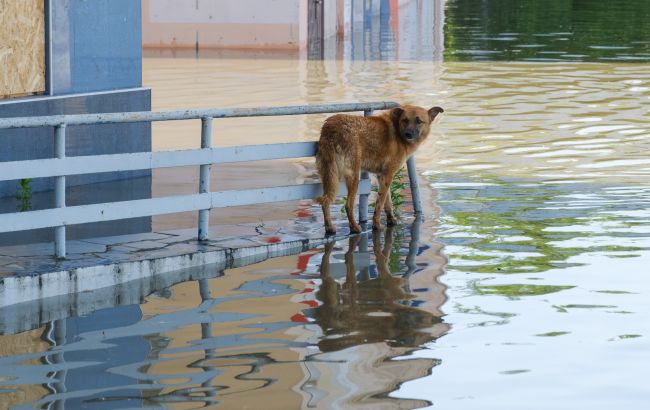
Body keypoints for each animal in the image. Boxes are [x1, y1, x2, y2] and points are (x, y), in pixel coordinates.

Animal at [312, 104, 440, 235]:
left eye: (419, 121)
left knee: (325, 202)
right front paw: (376, 225)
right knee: (348, 205)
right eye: (405, 120)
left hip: (331, 175)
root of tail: (331, 127)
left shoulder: (382, 176)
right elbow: (380, 204)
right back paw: (355, 228)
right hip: (353, 177)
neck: (397, 128)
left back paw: (329, 227)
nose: (408, 134)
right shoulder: (388, 175)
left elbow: (388, 202)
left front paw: (391, 220)